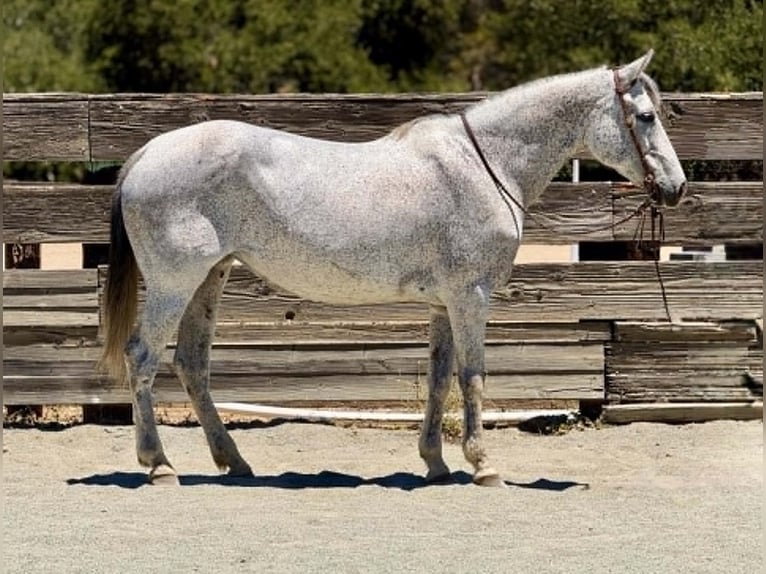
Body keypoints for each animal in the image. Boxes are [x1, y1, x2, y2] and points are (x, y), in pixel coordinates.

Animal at [100, 50, 686, 486]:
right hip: (174, 284)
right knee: (143, 357)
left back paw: (234, 461)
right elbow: (473, 376)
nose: (677, 188)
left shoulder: (444, 303)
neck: (483, 164)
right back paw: (159, 466)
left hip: (208, 279)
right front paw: (483, 465)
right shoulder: (471, 296)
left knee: (192, 364)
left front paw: (435, 463)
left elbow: (438, 378)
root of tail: (147, 153)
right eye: (647, 117)